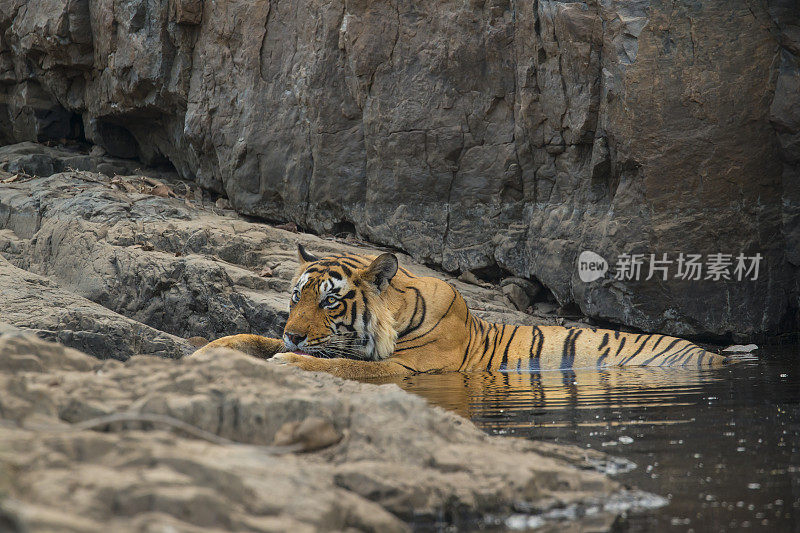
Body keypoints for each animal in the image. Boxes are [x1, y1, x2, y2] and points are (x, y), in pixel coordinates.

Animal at [192, 245, 724, 378]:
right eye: (294, 298)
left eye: (329, 300)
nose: (295, 336)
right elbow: (250, 339)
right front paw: (206, 350)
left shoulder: (407, 368)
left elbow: (341, 366)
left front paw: (287, 360)